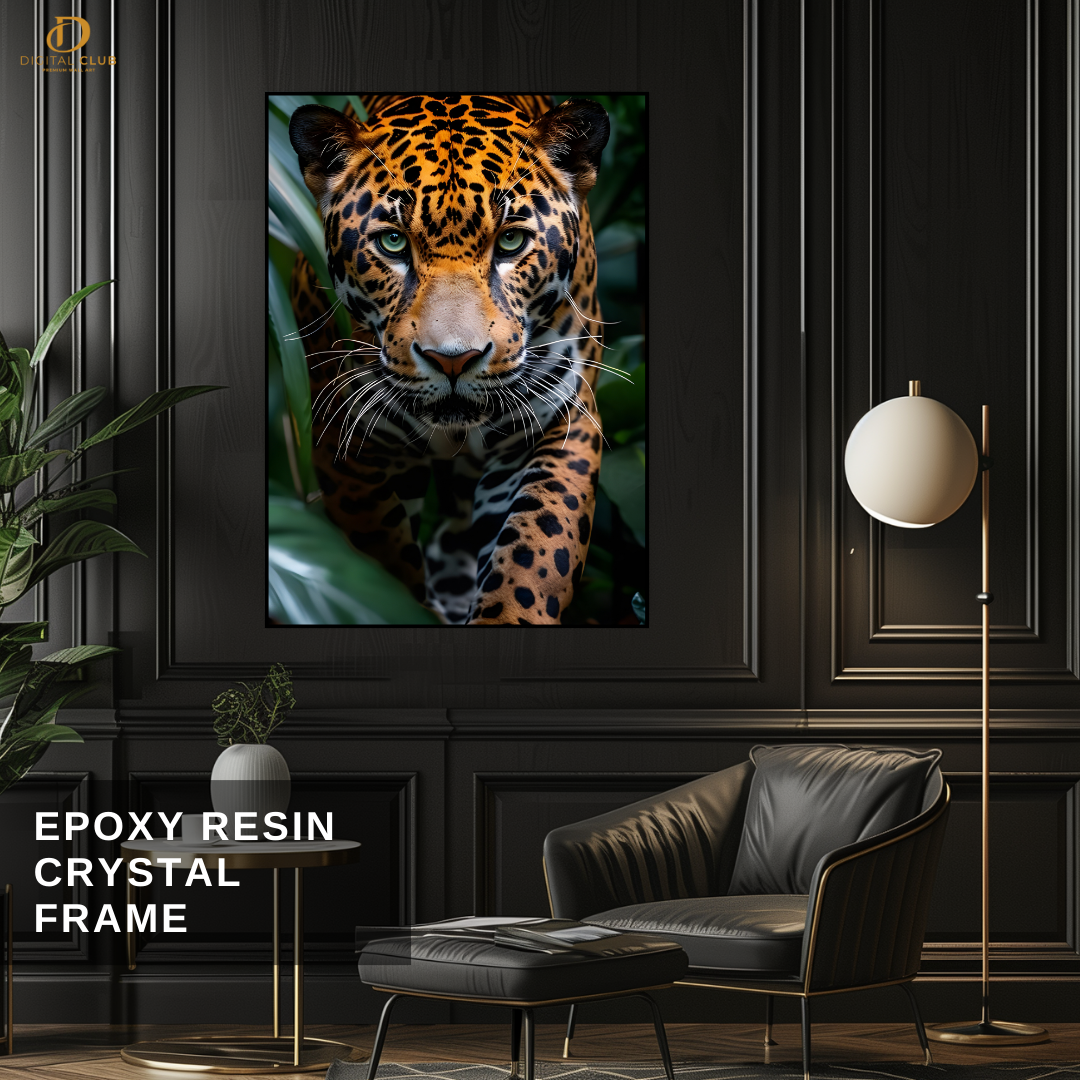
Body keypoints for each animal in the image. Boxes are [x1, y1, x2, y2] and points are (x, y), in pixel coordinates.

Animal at [287, 94, 611, 625]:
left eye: (511, 241)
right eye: (393, 242)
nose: (454, 360)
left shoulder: (559, 422)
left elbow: (535, 554)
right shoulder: (350, 443)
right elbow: (382, 562)